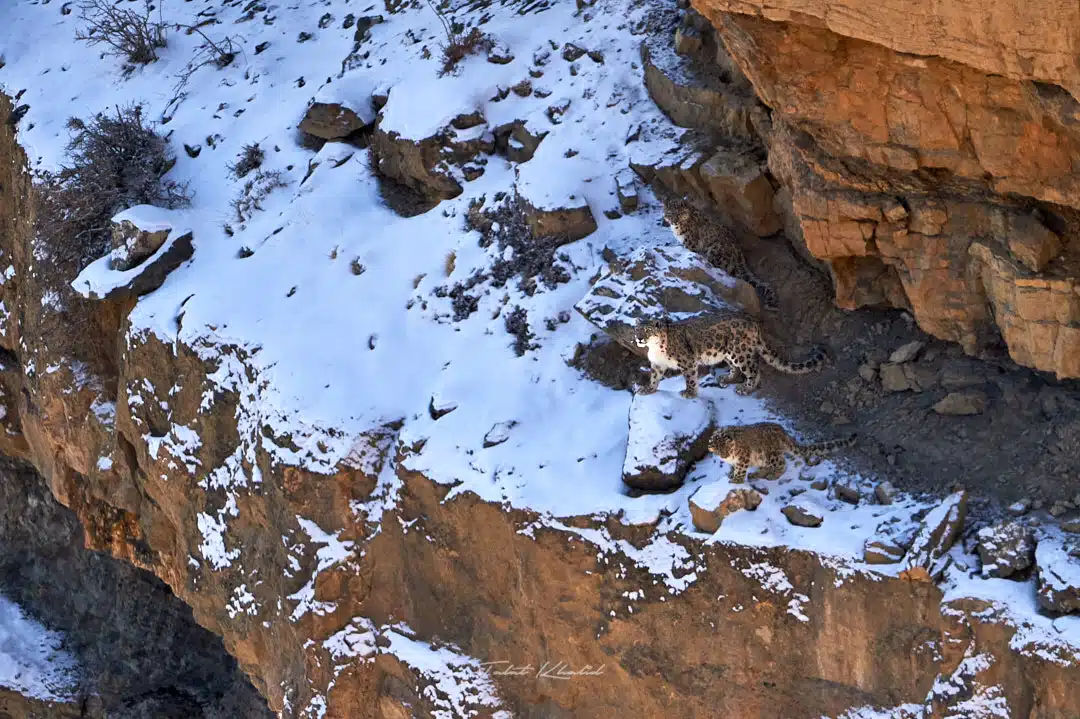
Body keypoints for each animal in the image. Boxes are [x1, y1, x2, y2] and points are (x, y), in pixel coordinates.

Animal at [630, 311, 828, 399]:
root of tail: (752, 322)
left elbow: (690, 379)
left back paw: (745, 388)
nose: (639, 338)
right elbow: (654, 378)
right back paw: (727, 379)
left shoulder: (687, 362)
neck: (655, 349)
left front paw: (689, 393)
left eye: (647, 331)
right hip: (728, 353)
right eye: (637, 329)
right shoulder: (657, 364)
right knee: (736, 369)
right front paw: (648, 389)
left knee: (754, 370)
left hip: (740, 352)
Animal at [708, 422, 857, 483]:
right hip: (761, 458)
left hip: (770, 455)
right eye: (718, 451)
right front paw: (730, 473)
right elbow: (734, 467)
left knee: (782, 464)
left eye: (726, 449)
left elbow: (740, 469)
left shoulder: (743, 457)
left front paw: (737, 480)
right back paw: (756, 474)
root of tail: (783, 432)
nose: (724, 456)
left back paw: (773, 475)